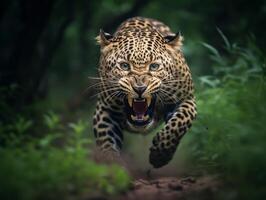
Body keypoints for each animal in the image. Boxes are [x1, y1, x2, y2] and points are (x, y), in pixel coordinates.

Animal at [92, 16, 196, 168]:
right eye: (124, 65)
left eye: (154, 66)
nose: (139, 88)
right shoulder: (105, 109)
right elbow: (107, 142)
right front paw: (113, 167)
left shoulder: (187, 98)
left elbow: (179, 123)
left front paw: (160, 155)